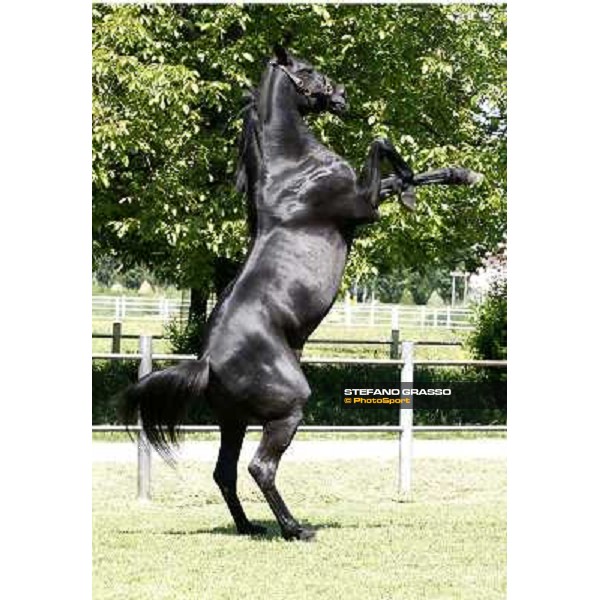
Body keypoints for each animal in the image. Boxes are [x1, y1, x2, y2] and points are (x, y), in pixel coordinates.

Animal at [124, 47, 480, 540]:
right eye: (308, 70)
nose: (343, 95)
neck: (294, 170)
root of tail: (207, 361)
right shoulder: (363, 207)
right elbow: (382, 143)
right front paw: (412, 187)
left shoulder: (364, 199)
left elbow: (409, 171)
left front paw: (463, 174)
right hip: (287, 410)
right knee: (260, 468)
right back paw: (295, 529)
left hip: (234, 421)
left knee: (225, 471)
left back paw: (250, 527)